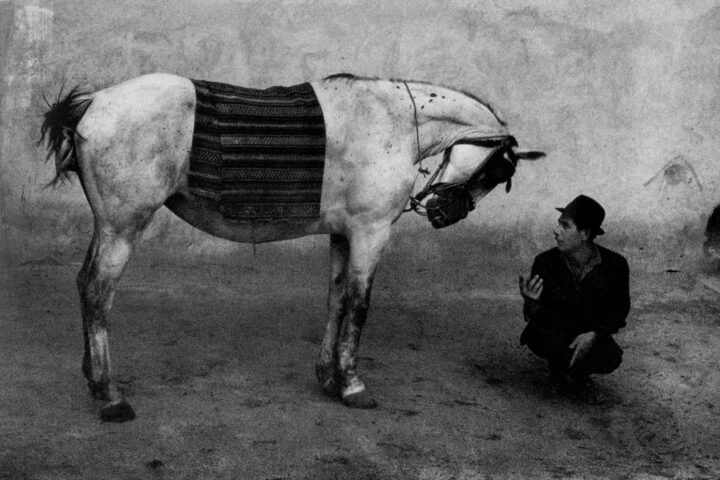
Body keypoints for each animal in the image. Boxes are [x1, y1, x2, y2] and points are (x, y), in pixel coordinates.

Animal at [39, 71, 544, 420]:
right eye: (497, 171)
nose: (444, 213)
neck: (393, 121)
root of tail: (95, 101)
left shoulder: (343, 234)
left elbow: (336, 301)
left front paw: (329, 378)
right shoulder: (370, 233)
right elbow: (359, 306)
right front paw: (353, 385)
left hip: (107, 226)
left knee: (84, 284)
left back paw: (94, 381)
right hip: (123, 227)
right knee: (97, 292)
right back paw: (110, 396)